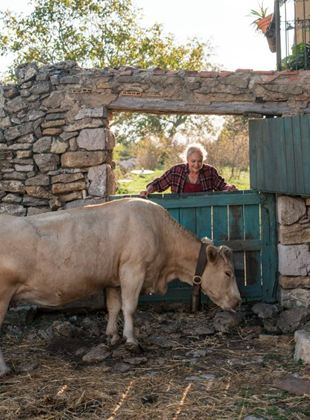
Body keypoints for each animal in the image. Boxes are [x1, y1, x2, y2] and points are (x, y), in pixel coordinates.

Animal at [0, 199, 240, 376]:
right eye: (228, 273)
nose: (238, 301)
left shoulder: (114, 279)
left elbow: (114, 307)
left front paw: (112, 336)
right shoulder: (132, 270)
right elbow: (129, 307)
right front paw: (131, 341)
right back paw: (4, 369)